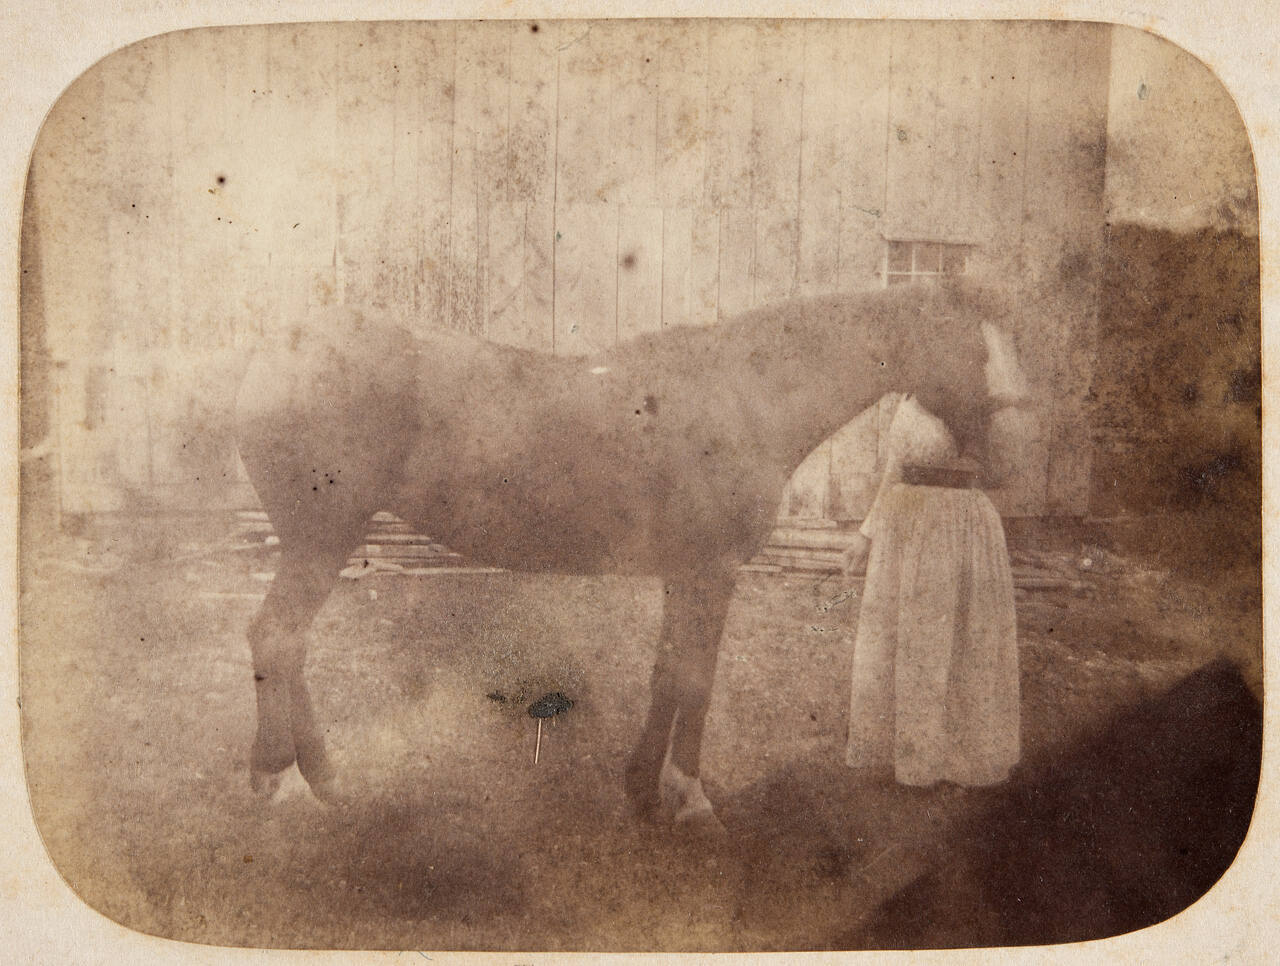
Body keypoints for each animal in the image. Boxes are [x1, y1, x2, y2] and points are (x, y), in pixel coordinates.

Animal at [234, 280, 1034, 828]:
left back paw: (325, 779)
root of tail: (276, 355)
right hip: (322, 538)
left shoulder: (684, 575)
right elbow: (695, 682)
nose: (1005, 455)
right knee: (276, 637)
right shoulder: (712, 573)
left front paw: (642, 789)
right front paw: (690, 798)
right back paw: (285, 784)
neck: (747, 396)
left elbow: (665, 676)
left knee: (287, 647)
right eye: (975, 346)